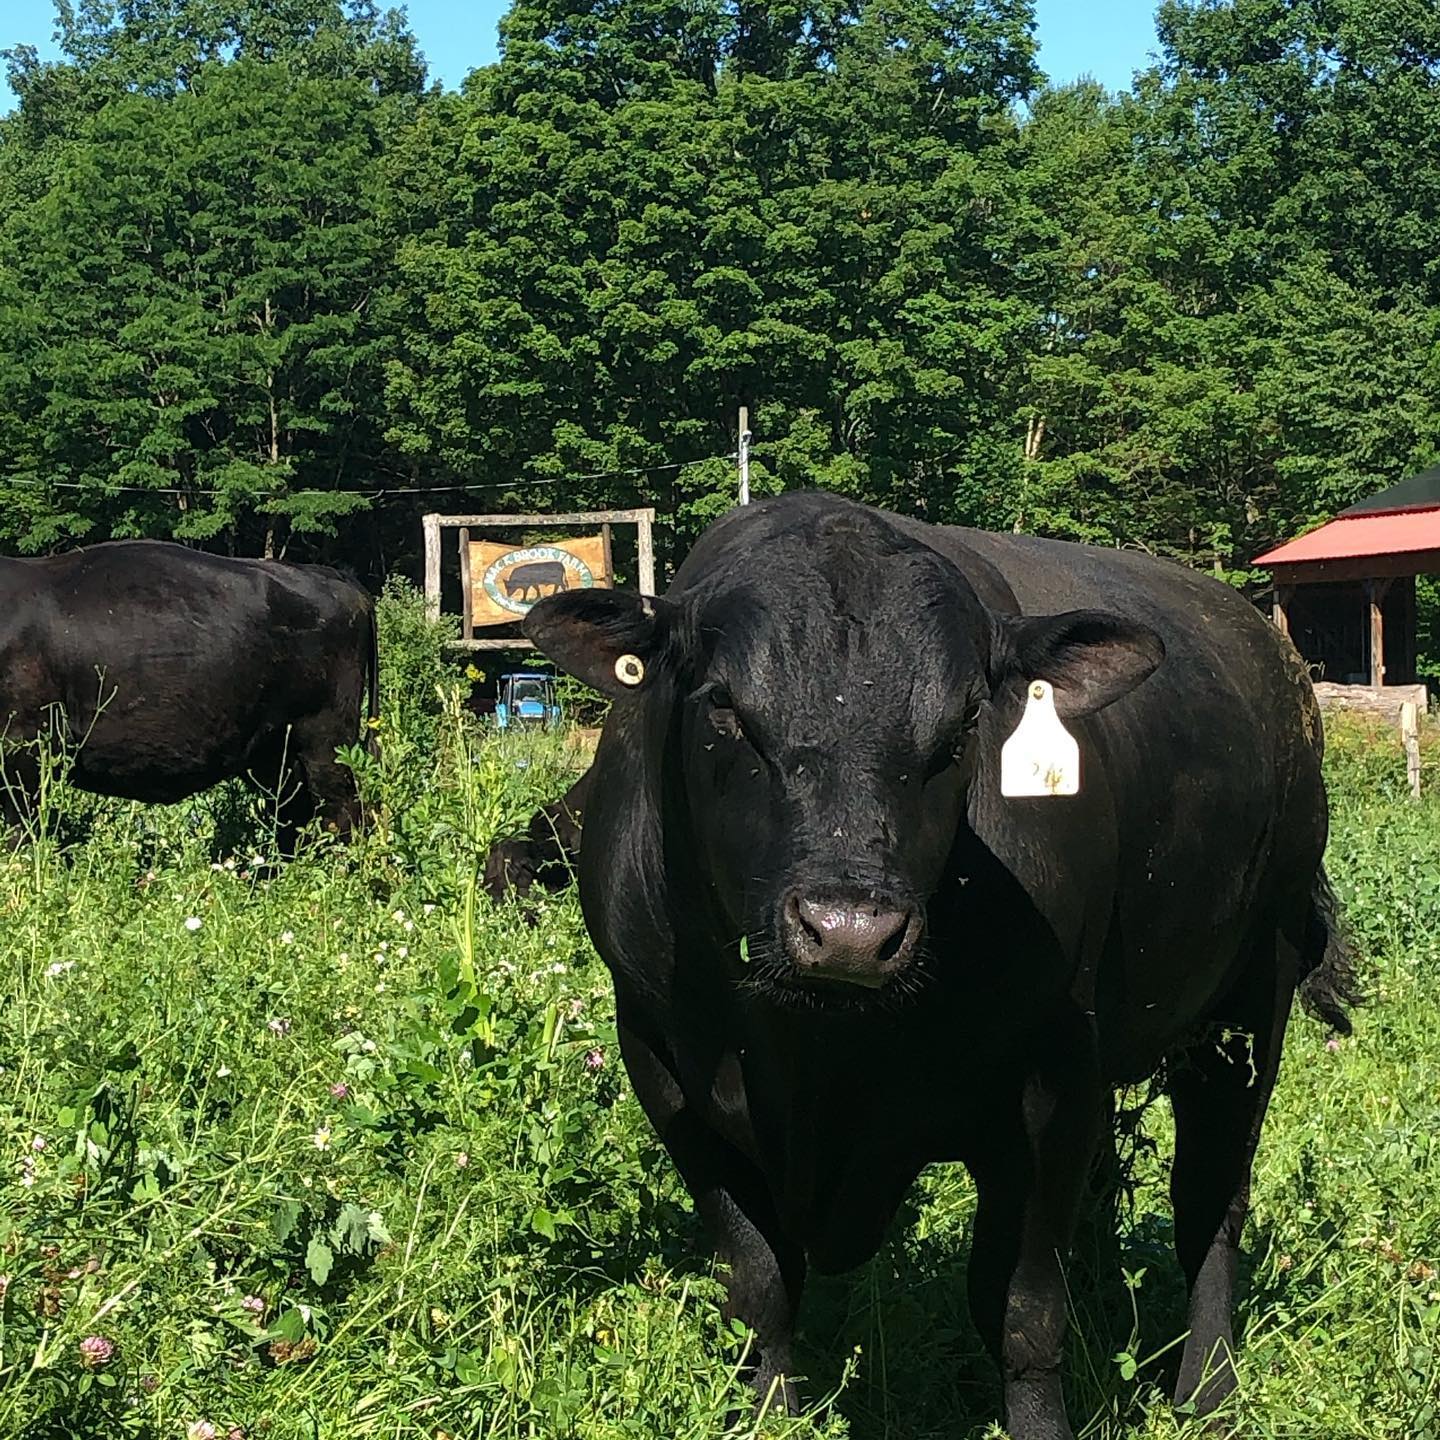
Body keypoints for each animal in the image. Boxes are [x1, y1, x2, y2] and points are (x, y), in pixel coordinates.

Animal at [0, 541, 377, 846]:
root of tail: (330, 574)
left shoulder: (24, 744)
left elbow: (18, 831)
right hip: (275, 754)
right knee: (292, 818)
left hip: (325, 741)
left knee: (344, 816)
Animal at [489, 498, 1353, 1440]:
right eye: (723, 706)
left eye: (965, 724)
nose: (850, 931)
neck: (814, 1055)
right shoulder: (664, 1064)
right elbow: (757, 1280)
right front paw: (768, 1413)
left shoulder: (1051, 1077)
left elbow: (1022, 1308)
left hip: (1252, 997)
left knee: (1211, 1200)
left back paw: (1206, 1390)